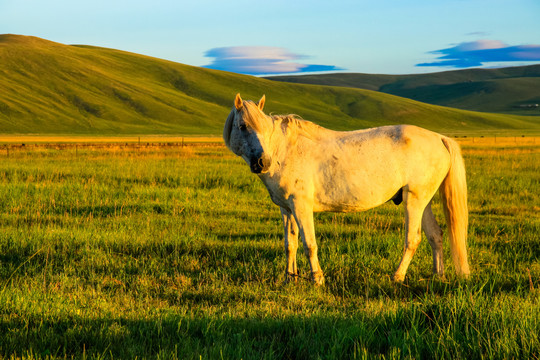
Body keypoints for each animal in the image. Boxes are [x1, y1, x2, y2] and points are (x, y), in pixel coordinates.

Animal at [224, 93, 468, 284]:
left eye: (264, 128)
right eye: (242, 126)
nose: (263, 162)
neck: (285, 151)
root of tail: (439, 137)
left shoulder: (301, 207)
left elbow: (309, 244)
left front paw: (317, 279)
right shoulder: (286, 209)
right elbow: (290, 244)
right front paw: (289, 279)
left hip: (414, 201)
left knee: (413, 239)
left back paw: (397, 277)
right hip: (423, 200)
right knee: (435, 235)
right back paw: (438, 276)